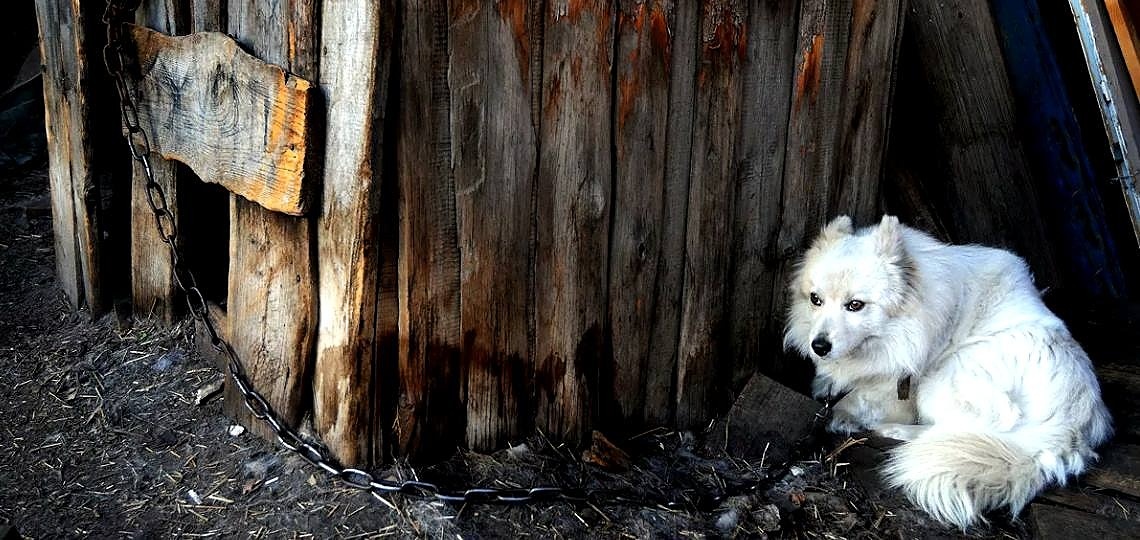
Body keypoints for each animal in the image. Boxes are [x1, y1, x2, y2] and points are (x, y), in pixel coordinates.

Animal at [784, 214, 1112, 526]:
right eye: (815, 300)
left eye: (855, 305)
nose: (819, 346)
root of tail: (1067, 427)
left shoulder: (900, 385)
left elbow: (860, 397)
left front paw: (839, 414)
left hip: (942, 381)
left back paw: (897, 432)